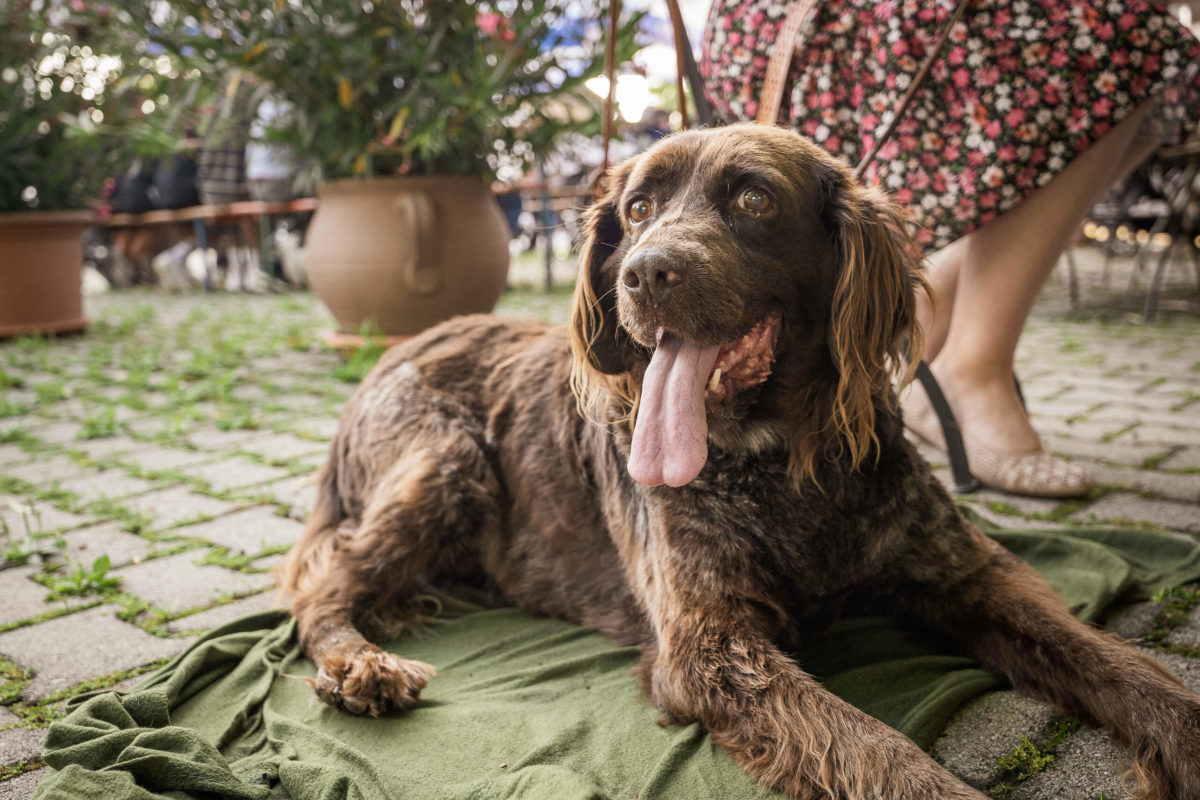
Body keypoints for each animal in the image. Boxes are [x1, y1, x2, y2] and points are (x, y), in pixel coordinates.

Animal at [280, 126, 1200, 800]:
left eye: (754, 199)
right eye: (639, 207)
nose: (644, 272)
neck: (779, 462)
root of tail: (388, 355)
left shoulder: (968, 572)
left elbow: (1115, 660)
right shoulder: (709, 644)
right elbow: (871, 745)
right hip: (449, 459)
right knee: (321, 585)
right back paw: (359, 666)